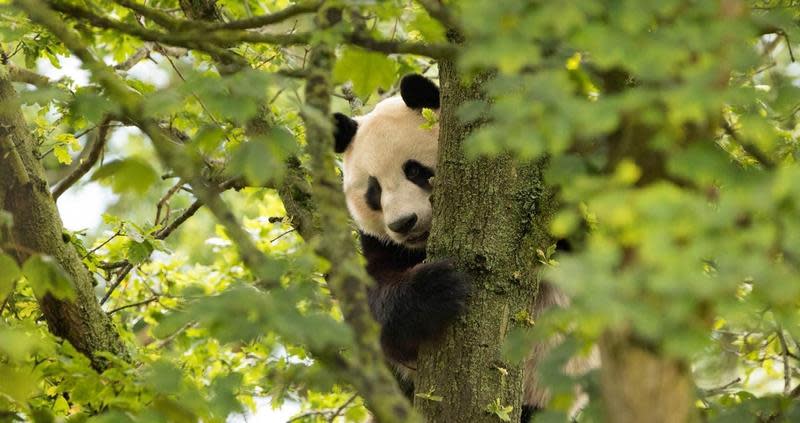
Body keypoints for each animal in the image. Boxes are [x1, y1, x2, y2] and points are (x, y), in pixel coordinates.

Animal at [332, 74, 580, 422]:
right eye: (373, 191)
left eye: (414, 170)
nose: (403, 223)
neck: (421, 245)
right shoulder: (381, 244)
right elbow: (373, 303)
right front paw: (436, 288)